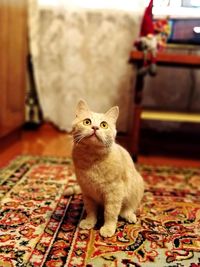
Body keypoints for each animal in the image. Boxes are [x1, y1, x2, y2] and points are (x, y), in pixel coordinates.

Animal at [72, 100, 144, 239]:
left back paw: (129, 216)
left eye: (104, 125)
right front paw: (89, 222)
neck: (92, 160)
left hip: (136, 187)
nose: (95, 127)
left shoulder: (114, 193)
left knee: (128, 208)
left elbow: (110, 213)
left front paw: (108, 228)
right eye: (87, 122)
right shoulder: (87, 192)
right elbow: (91, 210)